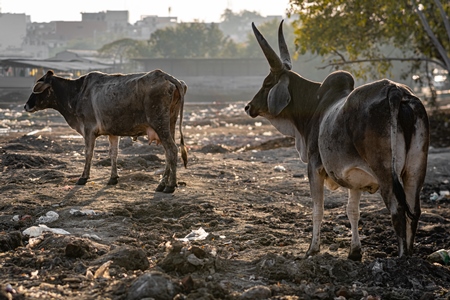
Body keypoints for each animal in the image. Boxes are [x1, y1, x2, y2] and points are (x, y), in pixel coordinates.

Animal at [23, 69, 189, 193]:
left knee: (172, 150)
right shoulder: (113, 132)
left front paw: (83, 177)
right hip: (170, 124)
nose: (26, 105)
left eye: (37, 89)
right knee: (168, 153)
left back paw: (170, 186)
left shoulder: (88, 129)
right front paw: (113, 178)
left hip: (160, 124)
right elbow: (113, 153)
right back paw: (162, 184)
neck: (76, 93)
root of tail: (166, 76)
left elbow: (88, 153)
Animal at [244, 21, 430, 260]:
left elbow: (318, 209)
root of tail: (395, 91)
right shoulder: (355, 176)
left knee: (397, 210)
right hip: (415, 170)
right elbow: (353, 211)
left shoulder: (314, 166)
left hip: (386, 172)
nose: (248, 106)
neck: (315, 105)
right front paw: (355, 252)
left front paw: (312, 249)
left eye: (267, 82)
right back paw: (410, 254)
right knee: (414, 211)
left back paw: (401, 257)